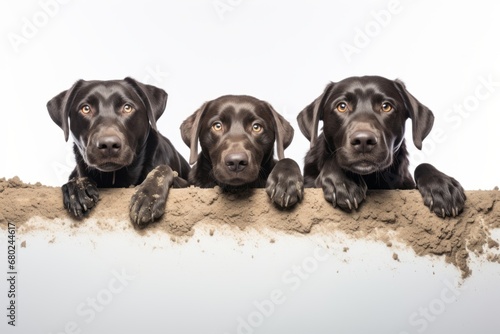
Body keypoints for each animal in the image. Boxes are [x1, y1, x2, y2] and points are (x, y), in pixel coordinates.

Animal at [46, 77, 190, 226]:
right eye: (85, 108)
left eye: (127, 107)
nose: (108, 144)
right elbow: (73, 179)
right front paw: (77, 187)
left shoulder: (186, 184)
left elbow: (163, 169)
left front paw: (148, 197)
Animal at [296, 75, 464, 217]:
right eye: (342, 106)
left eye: (386, 106)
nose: (363, 141)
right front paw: (343, 181)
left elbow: (423, 165)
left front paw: (441, 185)